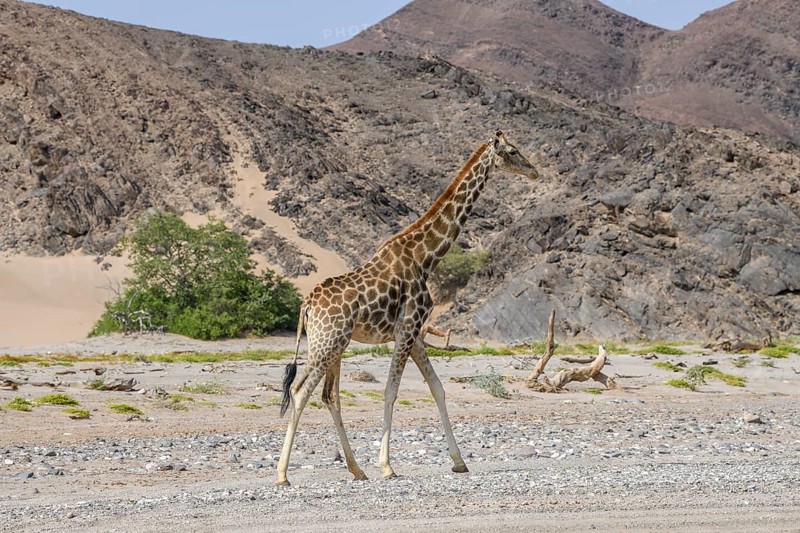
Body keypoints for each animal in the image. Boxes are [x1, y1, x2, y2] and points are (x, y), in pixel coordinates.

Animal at [276, 131, 539, 486]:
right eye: (512, 151)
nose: (533, 171)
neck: (427, 257)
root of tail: (306, 305)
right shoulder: (408, 328)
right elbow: (391, 390)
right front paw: (387, 465)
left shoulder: (414, 334)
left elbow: (437, 388)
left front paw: (458, 462)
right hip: (328, 342)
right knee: (301, 391)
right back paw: (282, 473)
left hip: (331, 344)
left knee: (328, 395)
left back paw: (356, 469)